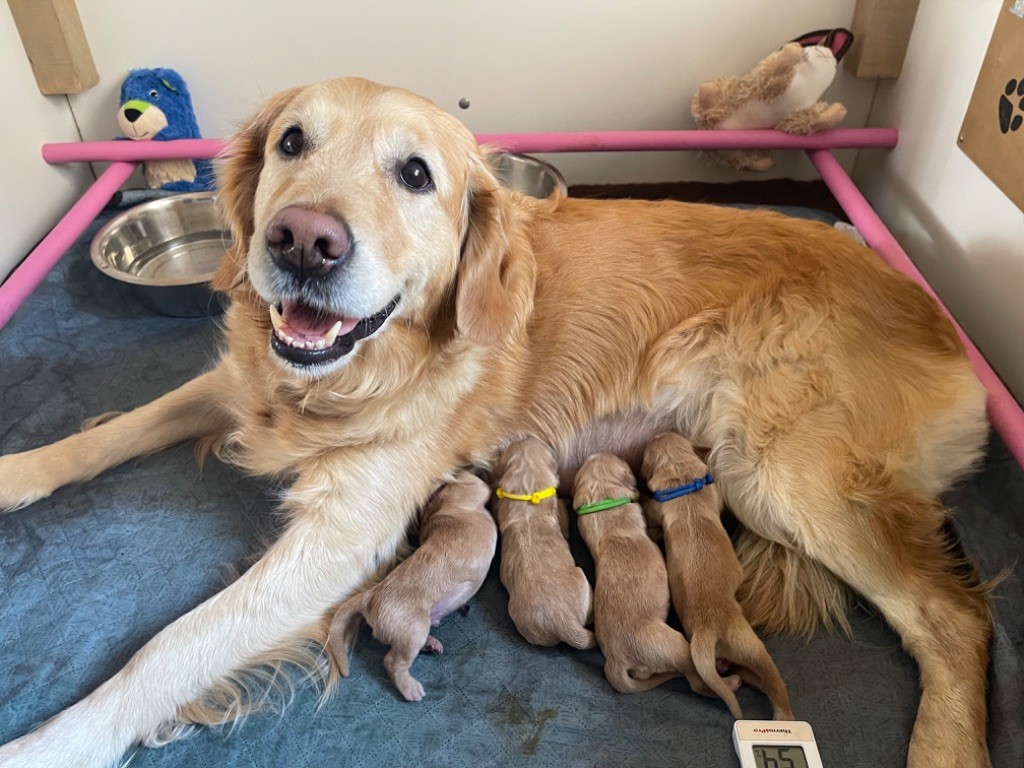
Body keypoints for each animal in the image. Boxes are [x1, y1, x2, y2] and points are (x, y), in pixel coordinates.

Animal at [327, 468, 495, 704]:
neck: (435, 504)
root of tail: (370, 596)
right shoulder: (472, 488)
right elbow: (482, 485)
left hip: (412, 630)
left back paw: (431, 644)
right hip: (412, 629)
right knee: (391, 661)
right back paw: (410, 689)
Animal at [643, 434, 794, 720]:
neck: (681, 481)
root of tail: (707, 632)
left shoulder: (658, 508)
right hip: (752, 647)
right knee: (774, 686)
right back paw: (784, 714)